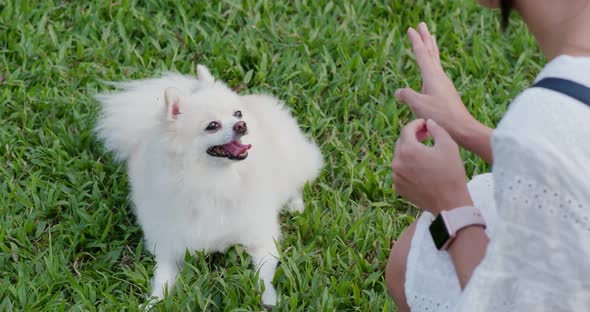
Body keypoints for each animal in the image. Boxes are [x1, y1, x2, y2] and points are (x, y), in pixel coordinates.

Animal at [94, 64, 324, 306]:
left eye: (237, 114)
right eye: (212, 126)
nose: (242, 125)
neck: (215, 180)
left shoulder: (262, 240)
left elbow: (263, 277)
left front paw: (269, 299)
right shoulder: (169, 248)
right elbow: (161, 284)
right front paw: (151, 304)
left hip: (295, 161)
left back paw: (295, 204)